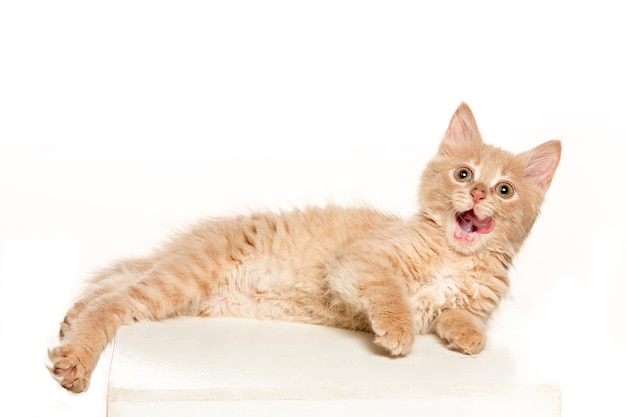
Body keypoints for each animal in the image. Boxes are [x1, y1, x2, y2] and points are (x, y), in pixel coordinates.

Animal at [46, 102, 560, 392]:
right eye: (463, 174)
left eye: (505, 190)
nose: (477, 195)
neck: (455, 257)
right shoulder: (361, 260)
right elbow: (390, 292)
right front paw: (397, 330)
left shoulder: (473, 301)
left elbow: (463, 317)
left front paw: (467, 337)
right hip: (179, 280)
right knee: (112, 302)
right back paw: (74, 361)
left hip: (182, 292)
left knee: (113, 286)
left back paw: (71, 319)